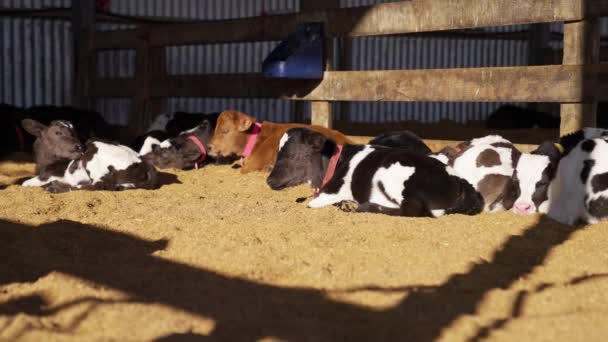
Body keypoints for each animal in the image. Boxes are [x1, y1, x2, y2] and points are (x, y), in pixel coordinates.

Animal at [20, 118, 157, 192]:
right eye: (57, 132)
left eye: (75, 132)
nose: (80, 147)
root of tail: (144, 163)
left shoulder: (50, 174)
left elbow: (25, 183)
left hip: (94, 160)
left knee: (99, 185)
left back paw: (56, 187)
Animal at [268, 127, 482, 218]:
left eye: (293, 154)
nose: (269, 180)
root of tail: (458, 182)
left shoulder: (328, 193)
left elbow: (312, 204)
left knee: (412, 210)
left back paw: (365, 207)